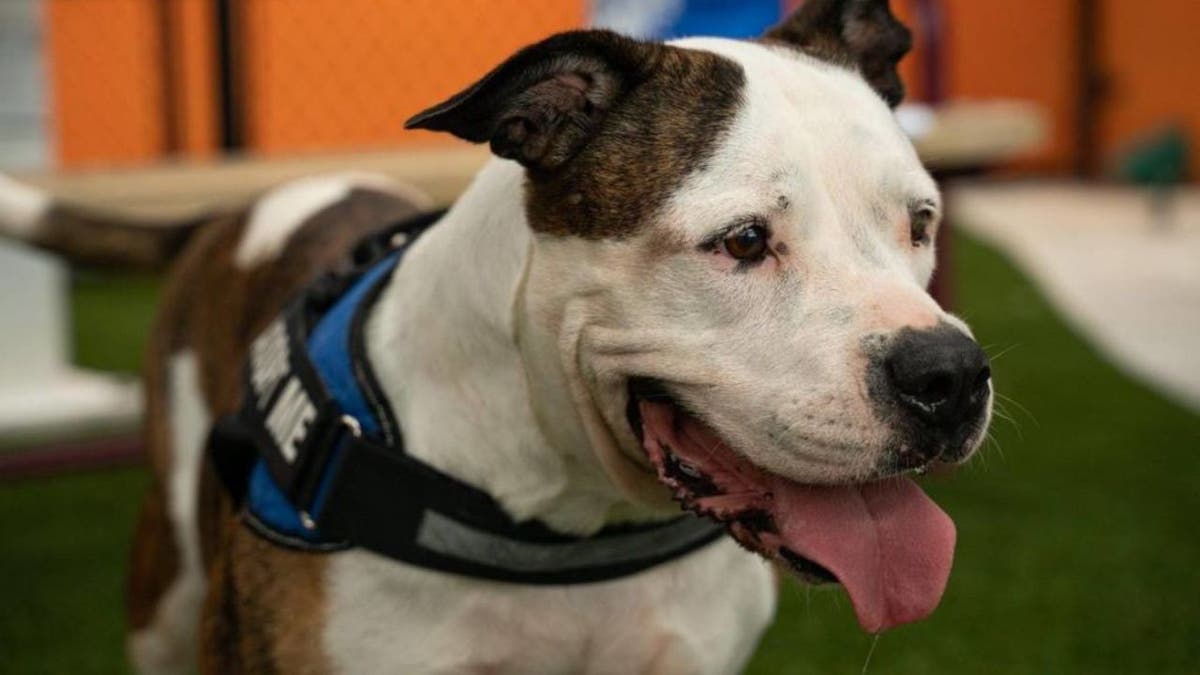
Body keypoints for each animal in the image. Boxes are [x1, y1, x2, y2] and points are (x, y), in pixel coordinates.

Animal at [0, 2, 993, 667]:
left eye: (921, 222)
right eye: (744, 240)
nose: (949, 375)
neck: (572, 517)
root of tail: (229, 212)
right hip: (164, 588)